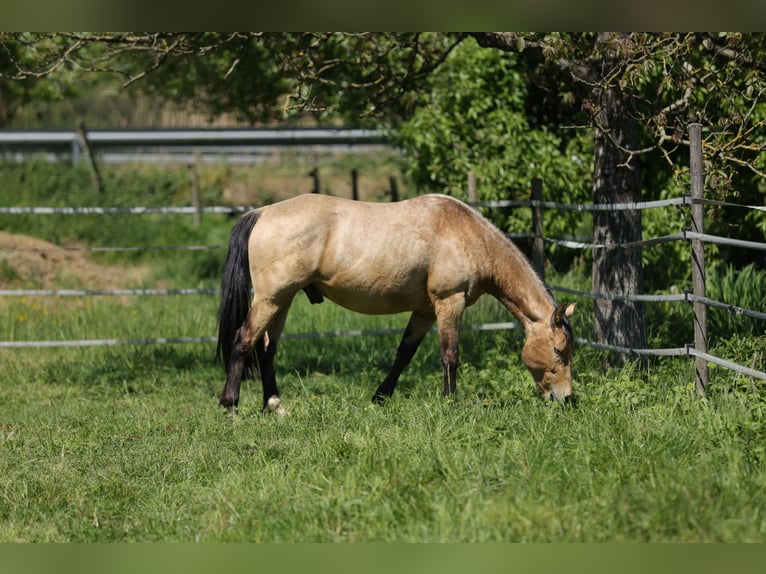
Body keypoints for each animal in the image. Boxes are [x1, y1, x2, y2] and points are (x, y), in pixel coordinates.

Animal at [216, 193, 575, 414]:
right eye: (560, 351)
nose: (567, 399)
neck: (470, 237)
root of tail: (260, 212)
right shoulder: (449, 303)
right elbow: (450, 356)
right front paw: (450, 402)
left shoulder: (424, 311)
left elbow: (403, 354)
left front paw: (380, 398)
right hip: (271, 299)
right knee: (242, 340)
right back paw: (231, 405)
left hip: (283, 301)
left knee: (266, 350)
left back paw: (274, 406)